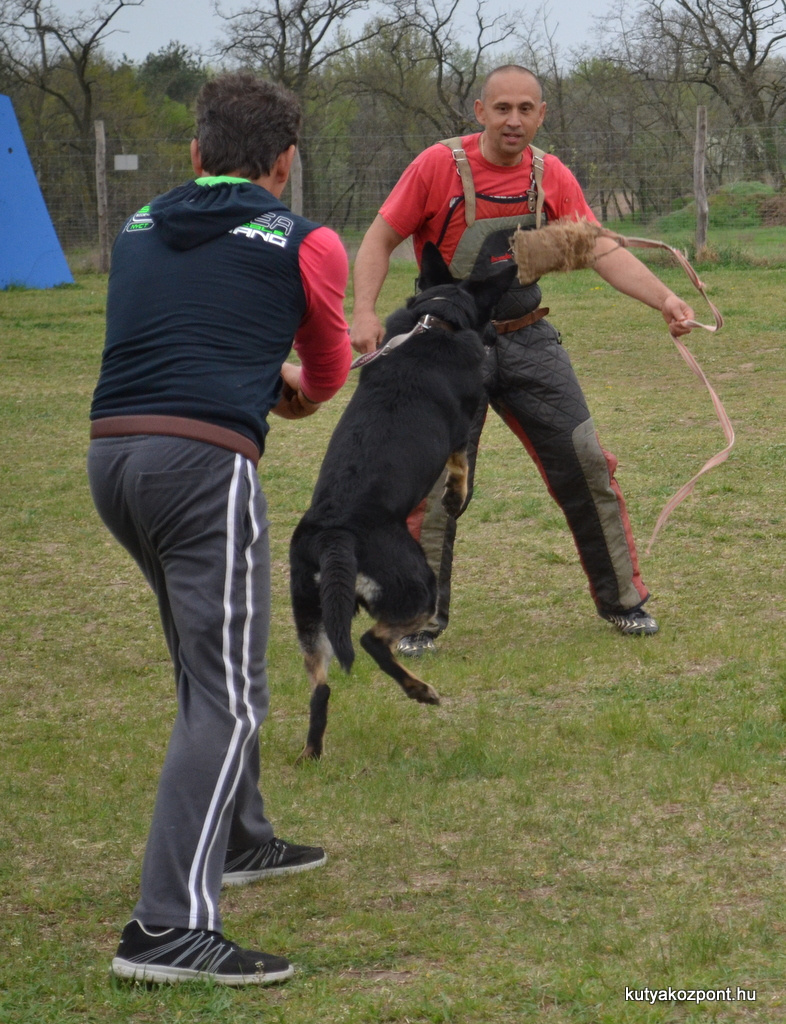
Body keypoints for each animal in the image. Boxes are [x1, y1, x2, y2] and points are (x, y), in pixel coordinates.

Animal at [290, 243, 515, 761]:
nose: (500, 333)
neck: (437, 320)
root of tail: (334, 533)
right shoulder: (461, 428)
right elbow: (460, 467)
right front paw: (456, 495)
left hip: (309, 616)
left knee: (321, 688)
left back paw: (313, 752)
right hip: (418, 586)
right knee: (373, 641)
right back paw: (421, 690)